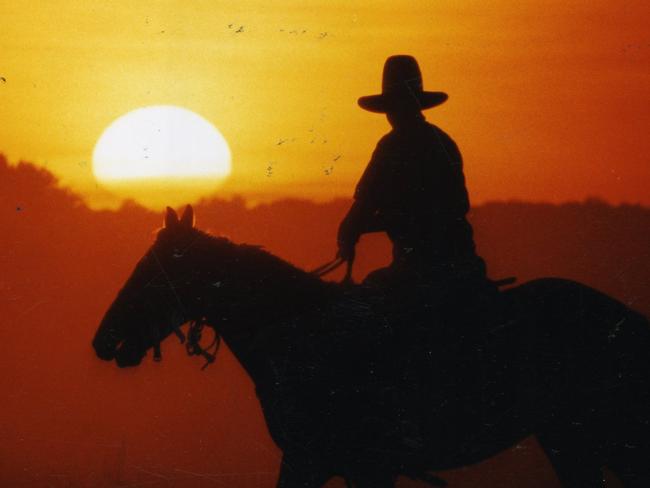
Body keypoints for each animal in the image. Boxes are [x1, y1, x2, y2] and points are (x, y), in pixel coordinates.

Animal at [93, 204, 648, 486]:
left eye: (151, 272)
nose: (104, 340)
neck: (301, 336)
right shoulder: (320, 464)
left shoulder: (350, 464)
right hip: (570, 440)